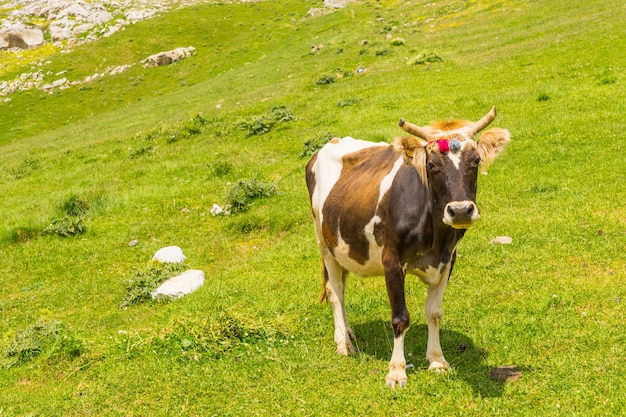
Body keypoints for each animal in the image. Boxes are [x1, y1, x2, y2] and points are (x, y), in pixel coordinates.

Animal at [304, 105, 510, 386]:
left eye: (476, 161)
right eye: (431, 165)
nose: (460, 210)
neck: (435, 238)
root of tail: (330, 143)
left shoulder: (448, 260)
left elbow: (434, 312)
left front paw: (437, 360)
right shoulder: (391, 261)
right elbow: (400, 317)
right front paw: (397, 370)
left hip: (343, 246)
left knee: (342, 288)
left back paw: (348, 332)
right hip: (324, 243)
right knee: (335, 291)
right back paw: (343, 343)